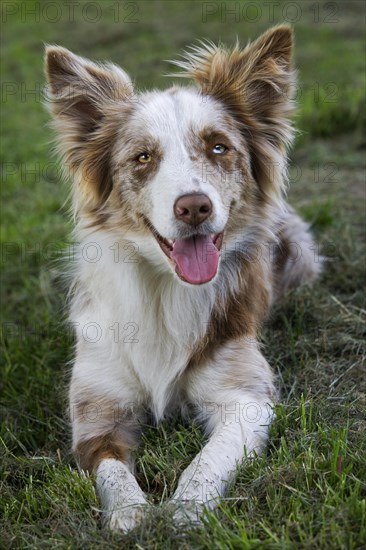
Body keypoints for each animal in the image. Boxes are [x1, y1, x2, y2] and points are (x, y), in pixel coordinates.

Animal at [44, 27, 322, 536]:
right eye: (143, 157)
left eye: (218, 147)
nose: (194, 207)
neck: (164, 290)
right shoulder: (96, 411)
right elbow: (112, 471)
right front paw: (131, 516)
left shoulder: (246, 398)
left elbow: (208, 459)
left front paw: (186, 510)